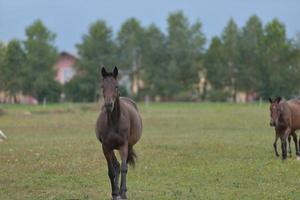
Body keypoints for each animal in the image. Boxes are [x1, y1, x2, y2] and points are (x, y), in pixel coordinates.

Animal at [96, 66, 143, 199]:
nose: (108, 105)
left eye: (116, 86)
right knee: (116, 166)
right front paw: (114, 193)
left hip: (129, 146)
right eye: (102, 86)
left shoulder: (123, 145)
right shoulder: (105, 147)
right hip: (112, 148)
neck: (114, 122)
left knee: (123, 165)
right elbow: (112, 170)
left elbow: (124, 168)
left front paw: (123, 193)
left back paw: (123, 191)